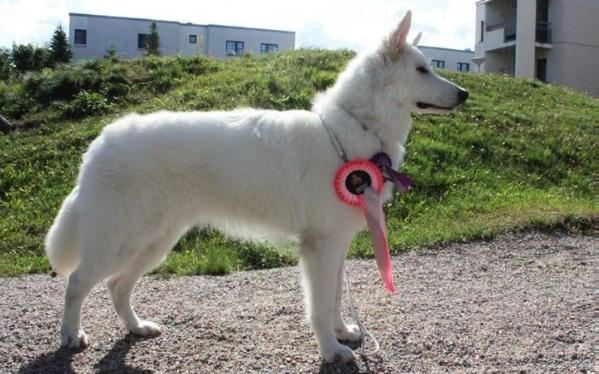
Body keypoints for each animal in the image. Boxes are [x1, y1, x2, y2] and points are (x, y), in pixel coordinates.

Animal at [47, 10, 468, 362]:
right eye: (422, 69)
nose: (465, 94)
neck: (354, 125)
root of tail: (101, 141)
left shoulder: (336, 245)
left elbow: (333, 297)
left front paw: (342, 332)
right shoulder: (320, 247)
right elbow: (318, 304)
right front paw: (331, 351)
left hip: (155, 242)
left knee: (117, 285)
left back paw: (137, 328)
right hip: (120, 240)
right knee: (77, 282)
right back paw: (71, 336)